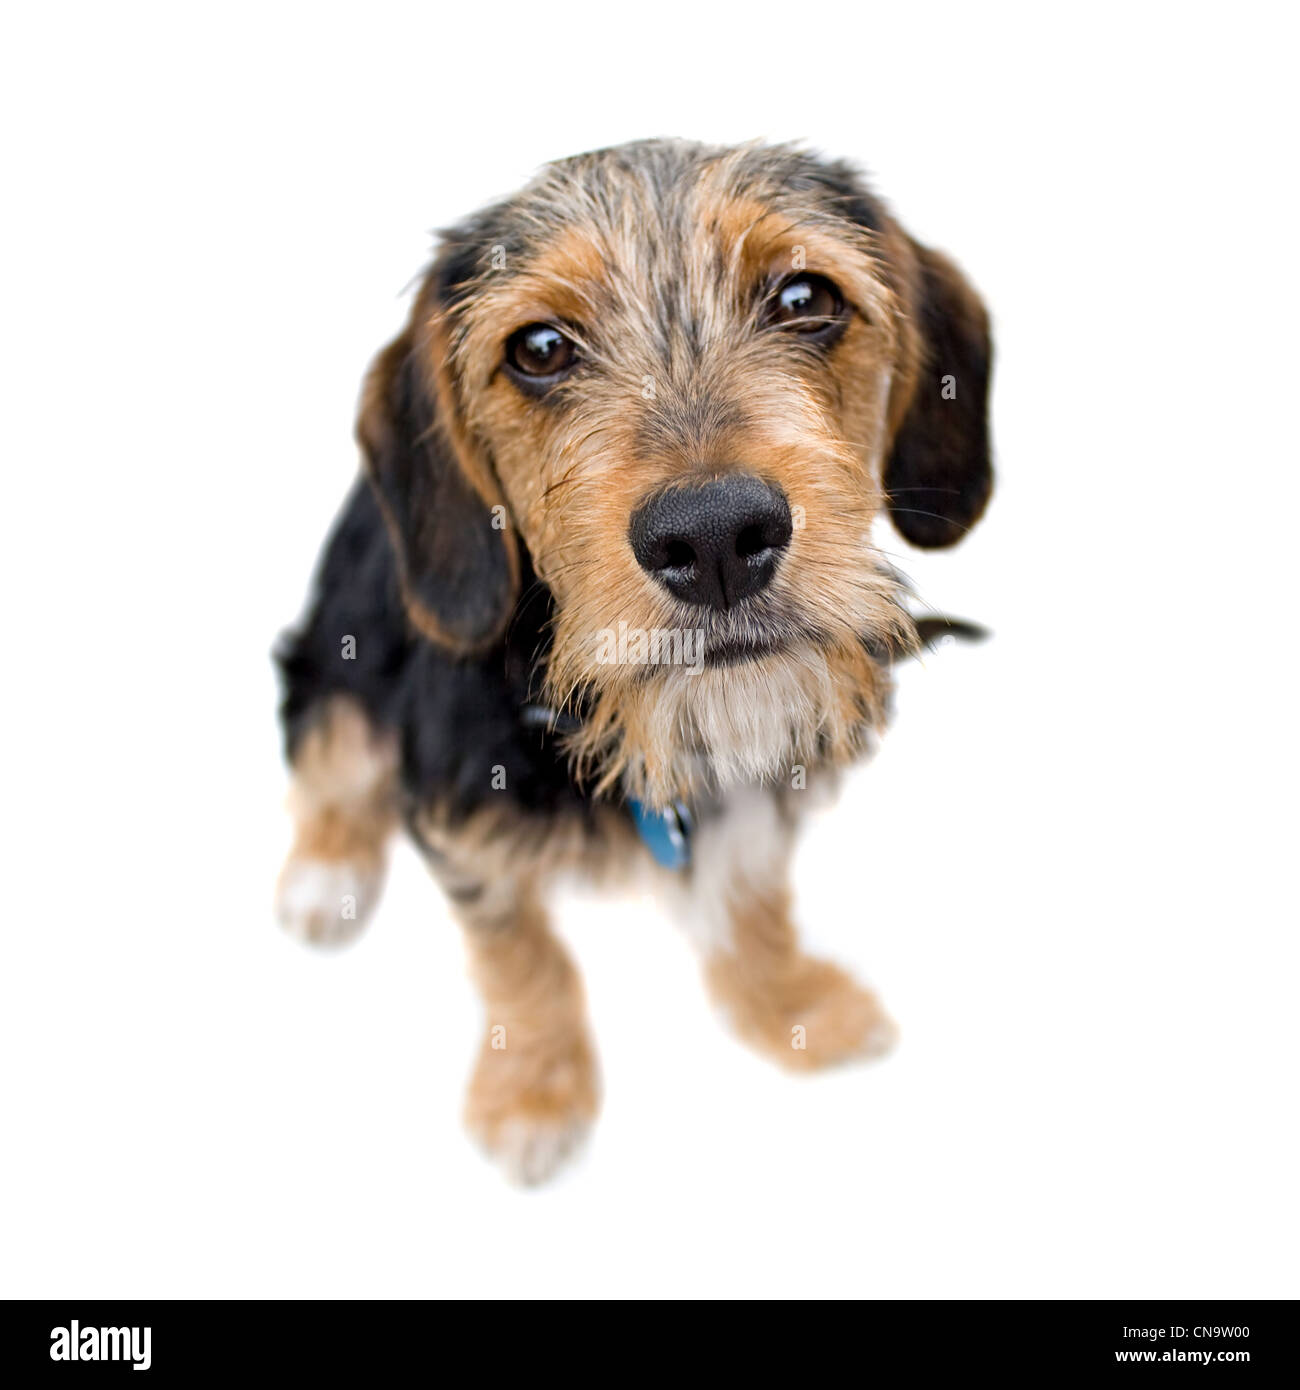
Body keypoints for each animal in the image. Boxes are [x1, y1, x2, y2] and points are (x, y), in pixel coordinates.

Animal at [269, 141, 989, 1184]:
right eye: (538, 349)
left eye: (805, 297)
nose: (717, 536)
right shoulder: (457, 810)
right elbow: (520, 955)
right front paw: (532, 1091)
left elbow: (750, 895)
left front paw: (791, 1007)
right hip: (336, 660)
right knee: (329, 762)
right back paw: (323, 877)